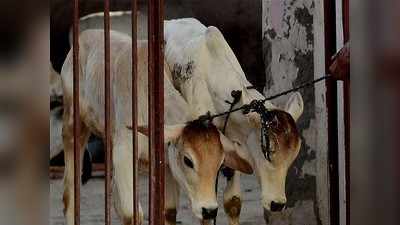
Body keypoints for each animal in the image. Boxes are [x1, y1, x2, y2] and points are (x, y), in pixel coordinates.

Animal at [60, 29, 252, 225]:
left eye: (220, 164)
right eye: (188, 160)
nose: (209, 210)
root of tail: (85, 34)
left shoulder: (165, 164)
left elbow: (168, 211)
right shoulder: (124, 152)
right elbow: (132, 214)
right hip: (73, 125)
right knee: (69, 194)